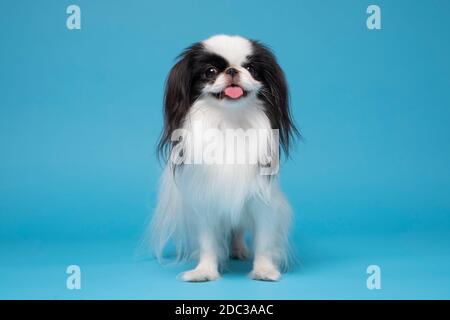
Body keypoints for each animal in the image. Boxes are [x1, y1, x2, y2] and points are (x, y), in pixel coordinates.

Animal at [151, 33, 298, 282]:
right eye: (210, 71)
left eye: (250, 68)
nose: (232, 70)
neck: (231, 121)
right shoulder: (207, 200)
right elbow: (208, 243)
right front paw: (204, 271)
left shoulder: (262, 200)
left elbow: (264, 241)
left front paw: (264, 270)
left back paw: (238, 249)